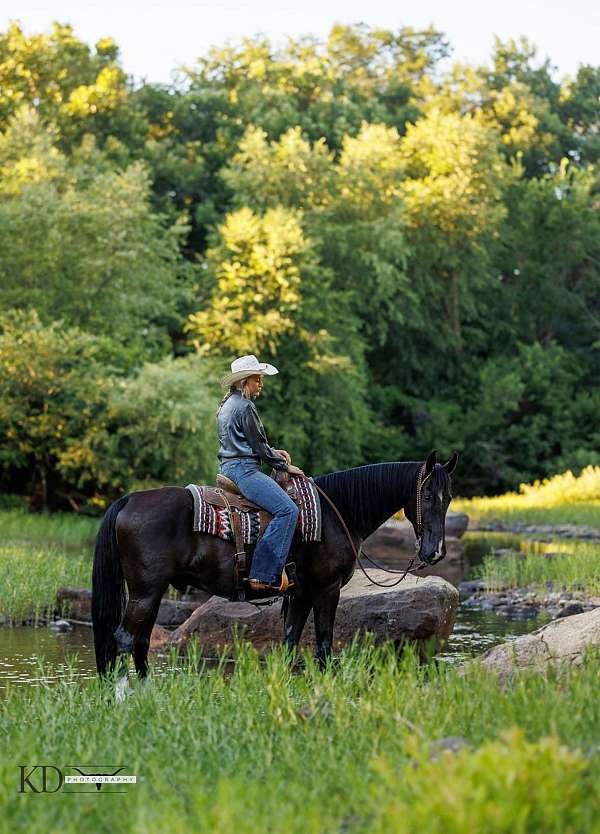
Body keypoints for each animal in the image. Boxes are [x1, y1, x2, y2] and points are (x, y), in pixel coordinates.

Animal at [92, 448, 460, 676]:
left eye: (449, 498)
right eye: (428, 496)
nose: (435, 552)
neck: (337, 513)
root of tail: (130, 499)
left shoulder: (300, 594)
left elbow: (289, 643)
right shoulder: (326, 590)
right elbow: (324, 644)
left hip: (151, 592)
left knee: (140, 642)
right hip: (145, 591)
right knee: (123, 639)